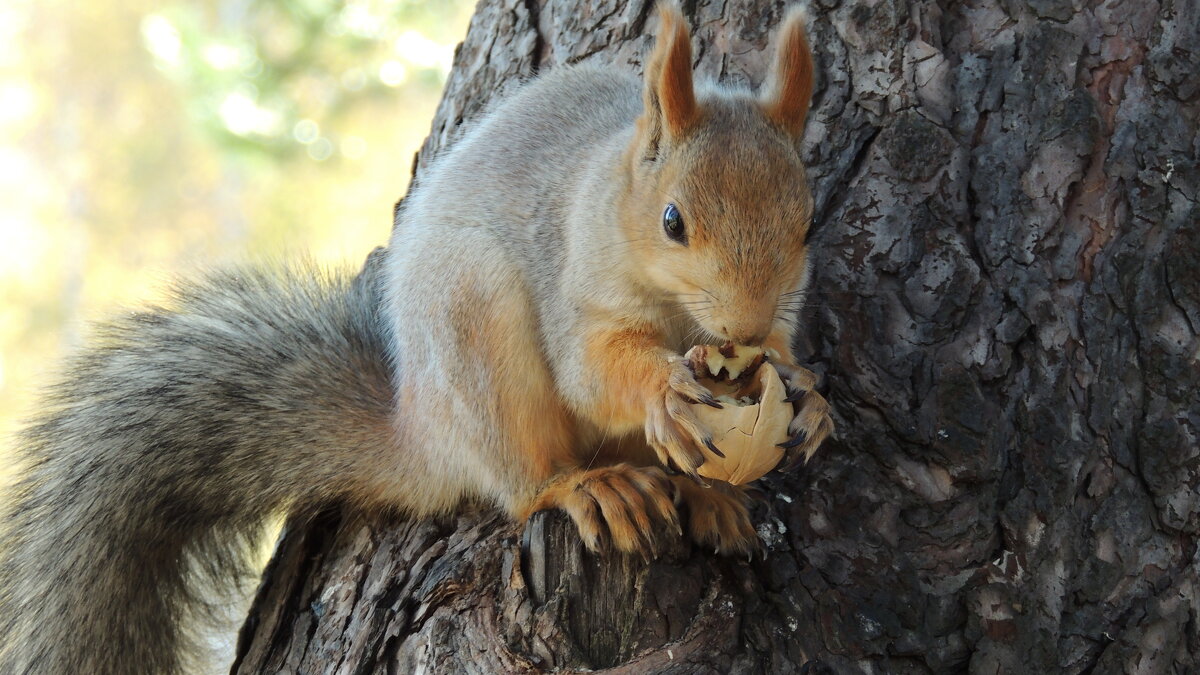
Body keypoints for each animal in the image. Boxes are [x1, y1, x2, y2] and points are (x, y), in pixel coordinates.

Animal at [0, 3, 835, 667]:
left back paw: (709, 494)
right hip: (474, 324)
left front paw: (809, 395)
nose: (742, 326)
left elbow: (784, 353)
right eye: (672, 221)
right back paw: (587, 485)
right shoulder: (578, 281)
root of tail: (424, 424)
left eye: (806, 225)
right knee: (523, 481)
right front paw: (665, 387)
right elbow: (592, 372)